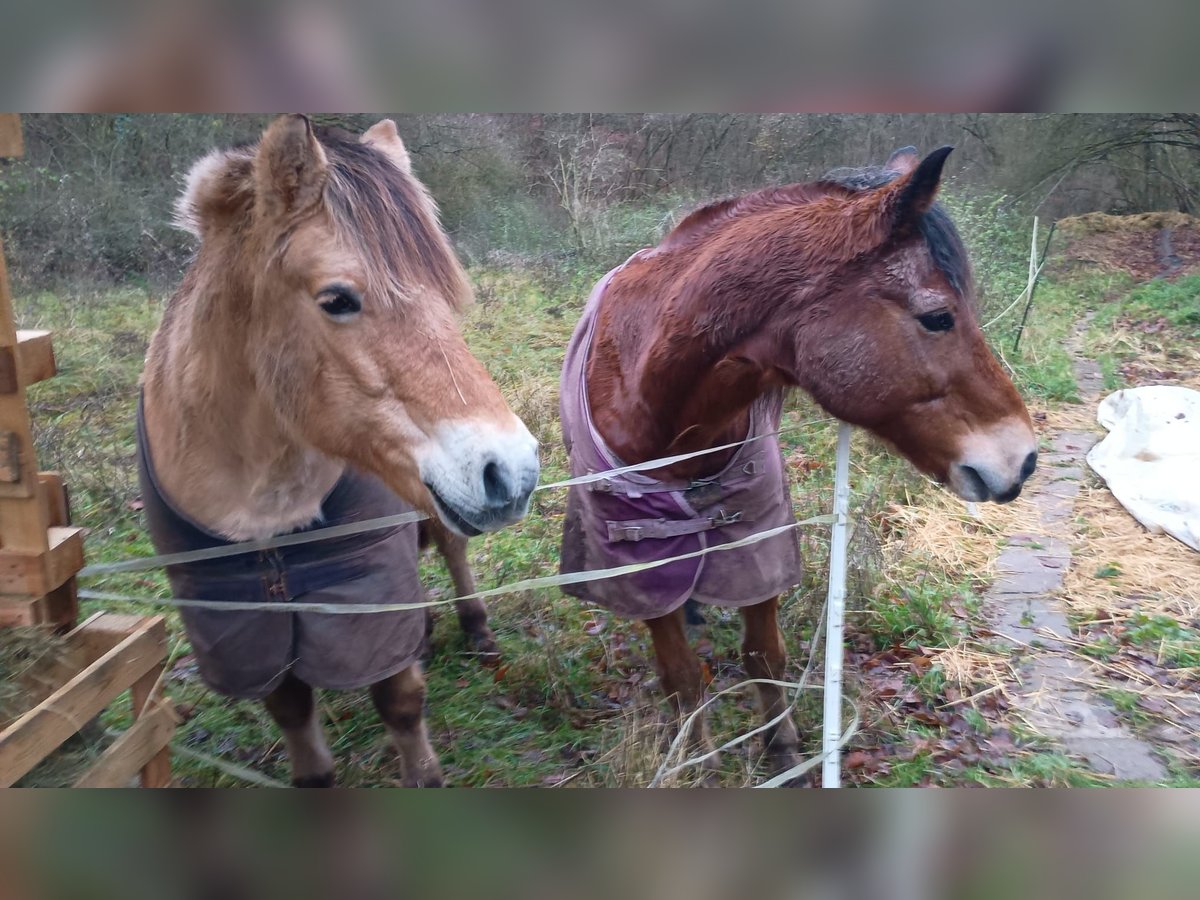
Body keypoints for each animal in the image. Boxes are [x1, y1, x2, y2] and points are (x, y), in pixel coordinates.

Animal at [136, 114, 540, 787]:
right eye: (337, 300)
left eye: (445, 292)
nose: (514, 470)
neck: (263, 508)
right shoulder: (247, 626)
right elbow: (295, 719)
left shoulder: (367, 598)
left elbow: (399, 701)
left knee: (453, 549)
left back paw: (474, 628)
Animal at [561, 144, 1041, 777]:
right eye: (938, 317)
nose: (1022, 459)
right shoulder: (641, 570)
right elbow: (682, 676)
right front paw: (699, 758)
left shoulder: (755, 544)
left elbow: (765, 653)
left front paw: (782, 747)